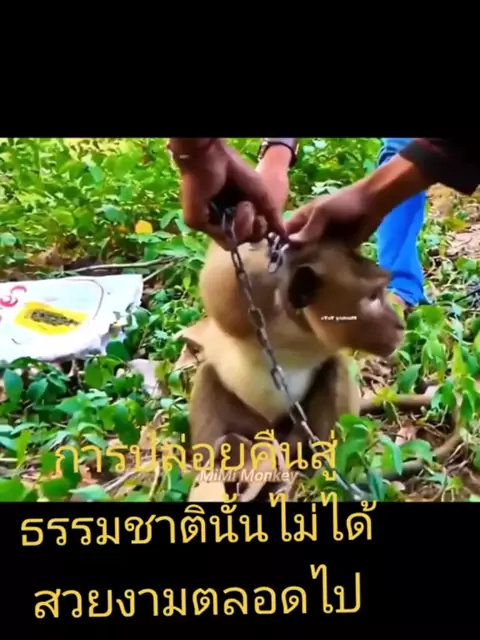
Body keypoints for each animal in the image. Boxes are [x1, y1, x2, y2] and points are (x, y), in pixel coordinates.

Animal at [185, 236, 406, 502]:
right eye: (372, 297)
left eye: (380, 293)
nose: (399, 325)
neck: (299, 327)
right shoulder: (251, 306)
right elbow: (217, 287)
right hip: (254, 424)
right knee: (208, 377)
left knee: (336, 368)